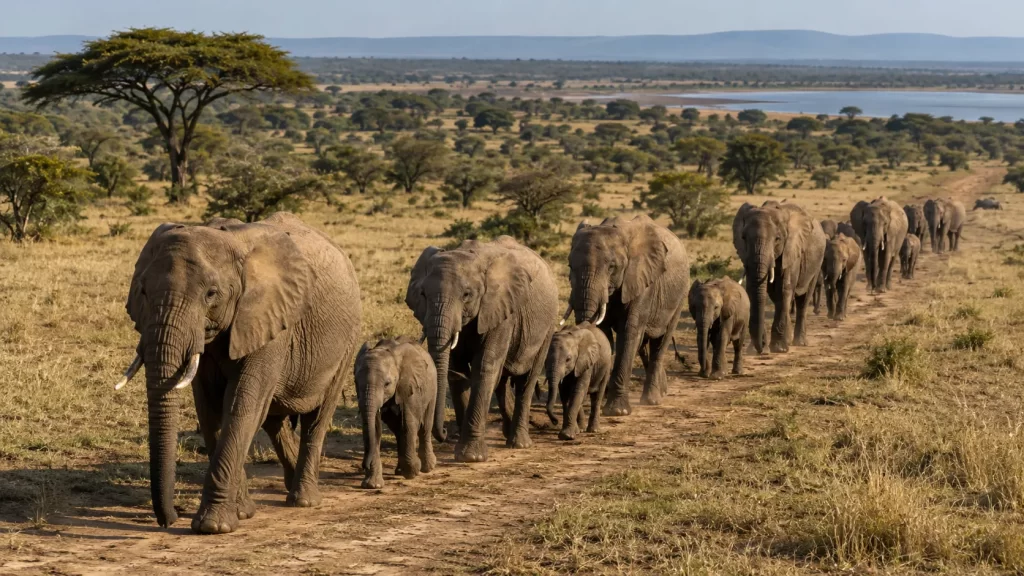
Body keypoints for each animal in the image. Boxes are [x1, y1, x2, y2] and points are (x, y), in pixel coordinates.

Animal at [118, 213, 361, 534]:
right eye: (143, 291)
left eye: (211, 294)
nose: (169, 519)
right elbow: (210, 408)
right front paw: (243, 512)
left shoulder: (270, 319)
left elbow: (241, 405)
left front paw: (212, 526)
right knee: (273, 419)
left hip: (348, 340)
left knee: (317, 418)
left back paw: (304, 499)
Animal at [355, 337, 437, 489]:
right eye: (356, 383)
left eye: (387, 384)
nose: (363, 465)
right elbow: (375, 429)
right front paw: (373, 485)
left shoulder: (408, 385)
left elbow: (409, 423)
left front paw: (412, 471)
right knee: (397, 429)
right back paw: (399, 471)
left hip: (432, 387)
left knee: (425, 426)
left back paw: (427, 467)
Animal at [406, 236, 557, 463]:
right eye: (423, 294)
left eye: (467, 295)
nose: (445, 434)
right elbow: (457, 369)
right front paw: (460, 446)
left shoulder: (501, 311)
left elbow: (485, 367)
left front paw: (471, 456)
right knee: (502, 382)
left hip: (547, 325)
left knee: (526, 380)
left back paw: (519, 443)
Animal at [567, 214, 690, 416]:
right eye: (569, 266)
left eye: (611, 267)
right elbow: (604, 333)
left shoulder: (642, 280)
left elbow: (628, 333)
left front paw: (617, 411)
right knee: (643, 344)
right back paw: (662, 390)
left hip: (680, 295)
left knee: (660, 342)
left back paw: (652, 399)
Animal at [733, 201, 826, 354]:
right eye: (743, 238)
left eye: (777, 239)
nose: (761, 347)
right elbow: (754, 289)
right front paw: (755, 350)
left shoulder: (791, 250)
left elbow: (784, 290)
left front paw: (779, 349)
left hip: (817, 262)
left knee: (803, 299)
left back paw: (799, 342)